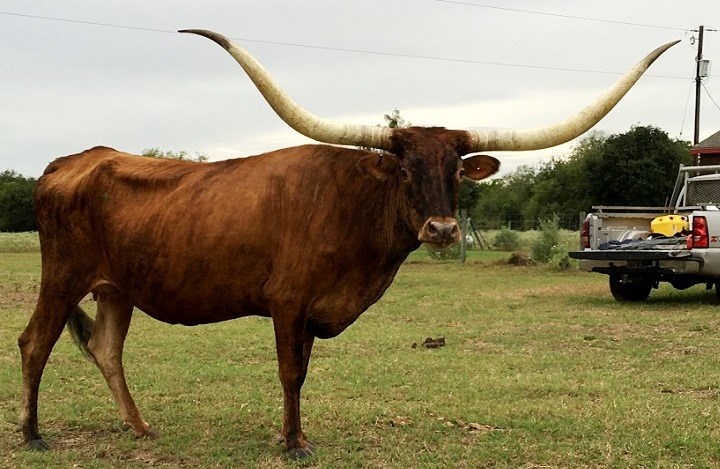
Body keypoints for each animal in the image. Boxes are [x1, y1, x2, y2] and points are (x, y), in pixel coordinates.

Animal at [18, 29, 677, 458]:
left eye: (456, 172)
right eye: (405, 168)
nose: (442, 231)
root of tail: (69, 161)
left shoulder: (313, 311)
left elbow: (304, 372)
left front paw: (294, 435)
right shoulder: (287, 303)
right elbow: (290, 373)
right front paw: (293, 444)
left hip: (115, 288)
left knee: (105, 349)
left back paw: (141, 430)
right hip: (63, 276)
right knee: (35, 343)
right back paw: (32, 434)